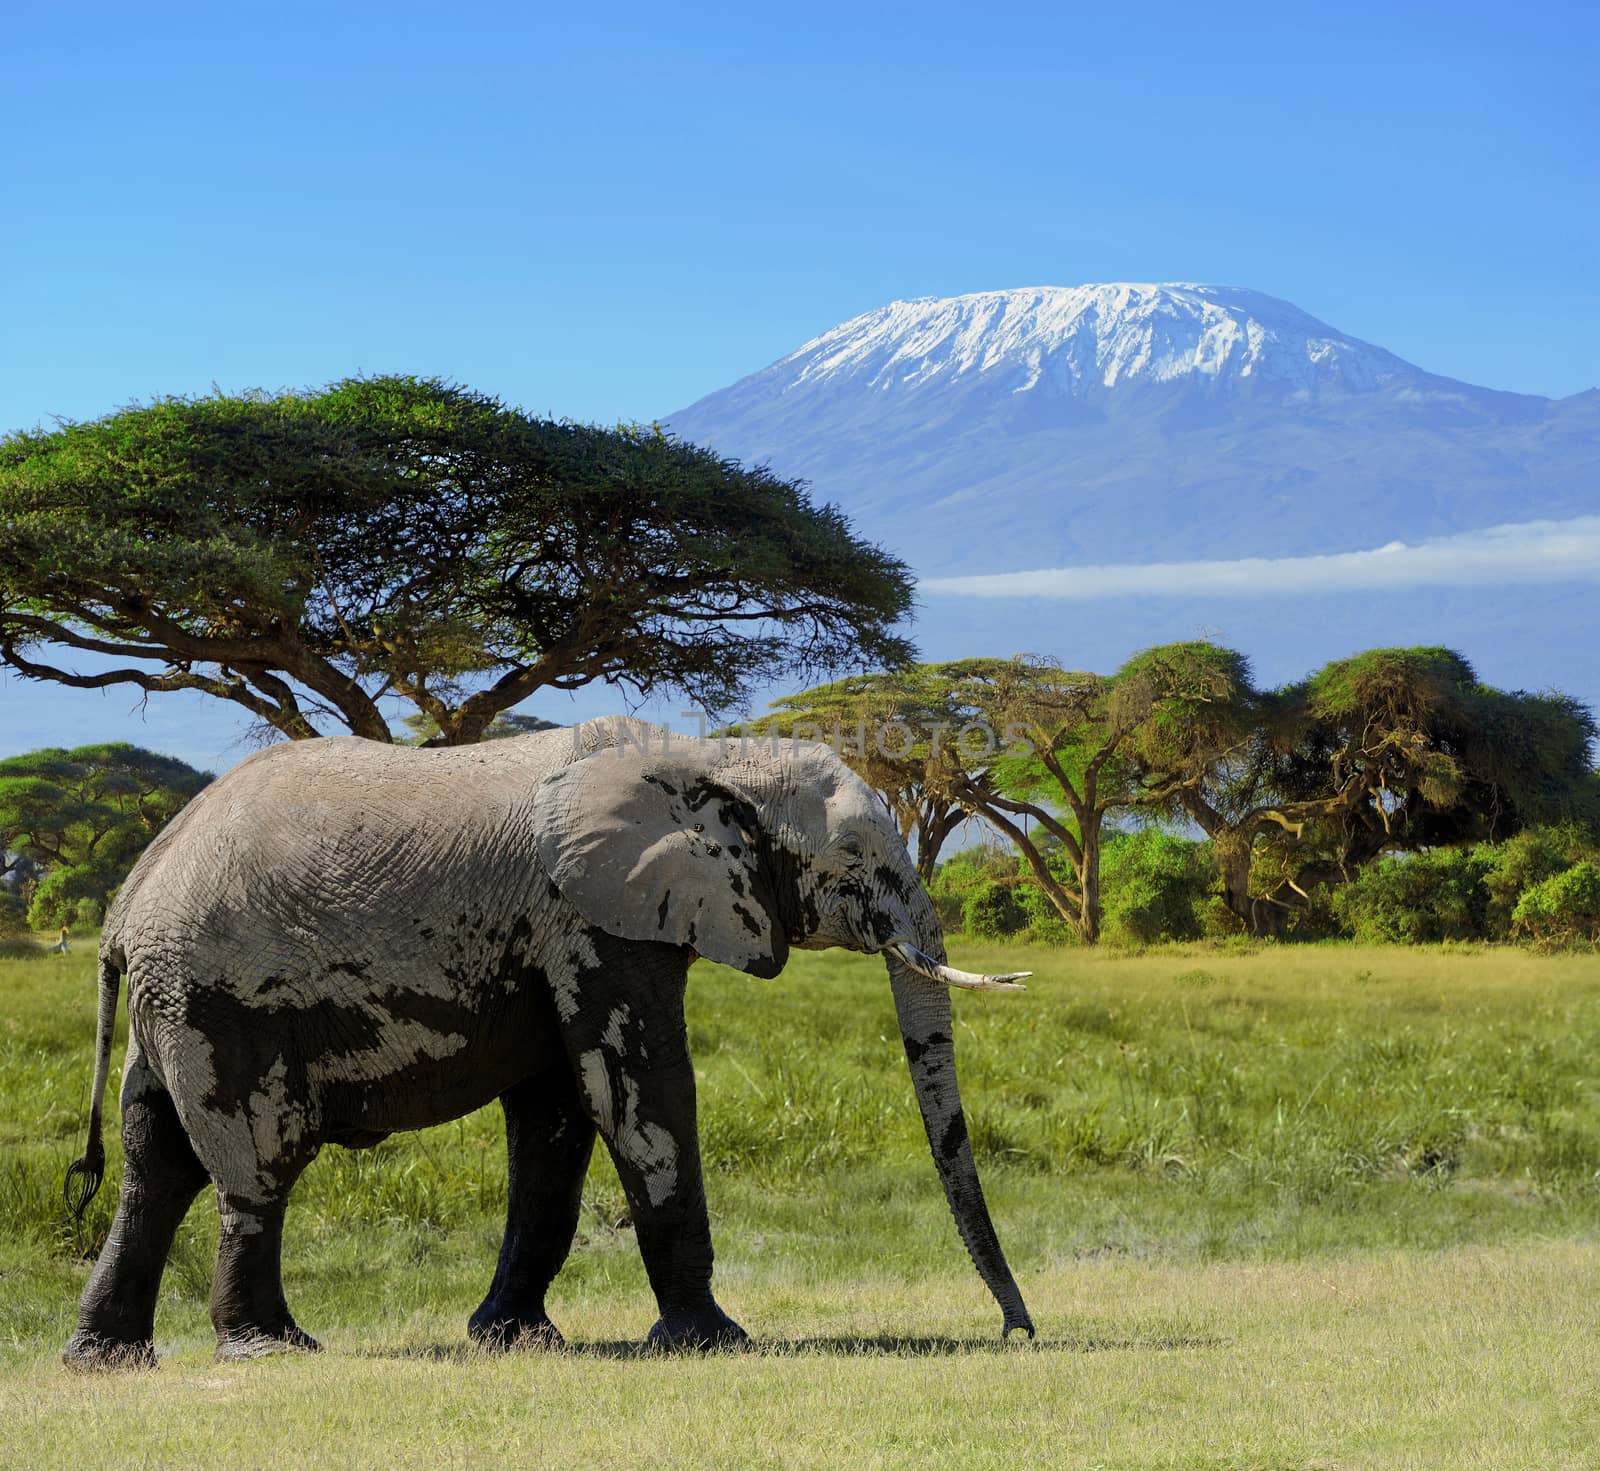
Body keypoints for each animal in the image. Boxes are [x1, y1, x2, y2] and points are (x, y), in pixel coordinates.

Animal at [59, 713, 1036, 1370]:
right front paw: (712, 1342)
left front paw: (515, 1338)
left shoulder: (568, 933)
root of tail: (123, 905)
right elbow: (639, 1091)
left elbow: (559, 1120)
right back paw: (273, 1348)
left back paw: (105, 1360)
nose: (1017, 1332)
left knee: (156, 1165)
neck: (710, 754)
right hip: (217, 998)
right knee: (255, 1163)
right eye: (859, 860)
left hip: (170, 1001)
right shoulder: (588, 917)